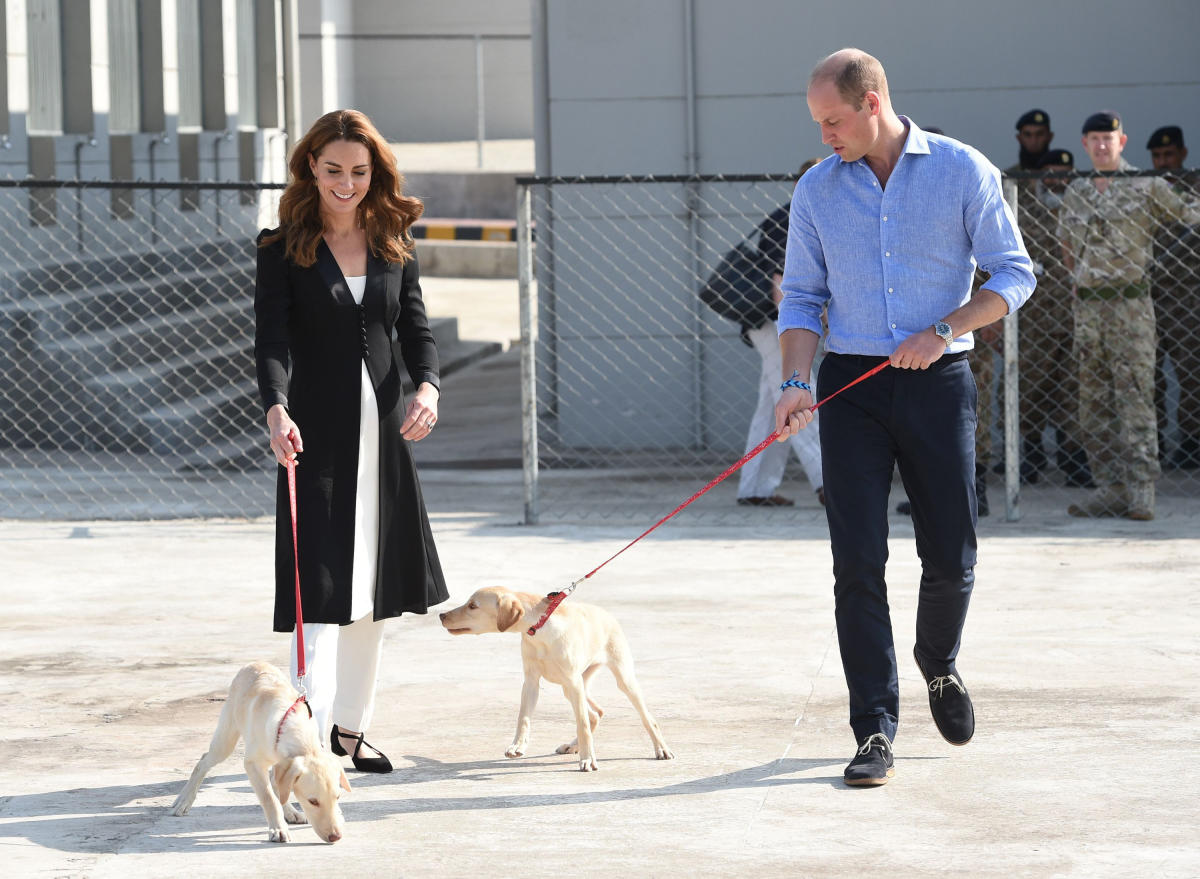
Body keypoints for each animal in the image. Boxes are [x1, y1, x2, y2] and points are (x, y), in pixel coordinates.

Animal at [174, 658, 350, 845]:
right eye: (313, 801)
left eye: (338, 797)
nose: (335, 836)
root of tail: (254, 663)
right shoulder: (252, 764)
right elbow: (269, 798)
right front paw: (278, 829)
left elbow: (278, 791)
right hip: (225, 740)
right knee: (203, 761)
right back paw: (184, 800)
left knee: (277, 784)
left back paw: (291, 812)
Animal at [439, 590, 676, 768]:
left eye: (473, 606)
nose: (441, 615)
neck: (540, 629)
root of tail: (605, 612)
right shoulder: (531, 682)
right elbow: (523, 718)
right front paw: (518, 746)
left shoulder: (573, 681)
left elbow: (581, 724)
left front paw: (588, 759)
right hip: (570, 686)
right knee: (596, 714)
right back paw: (573, 746)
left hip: (619, 679)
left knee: (646, 718)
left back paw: (661, 748)